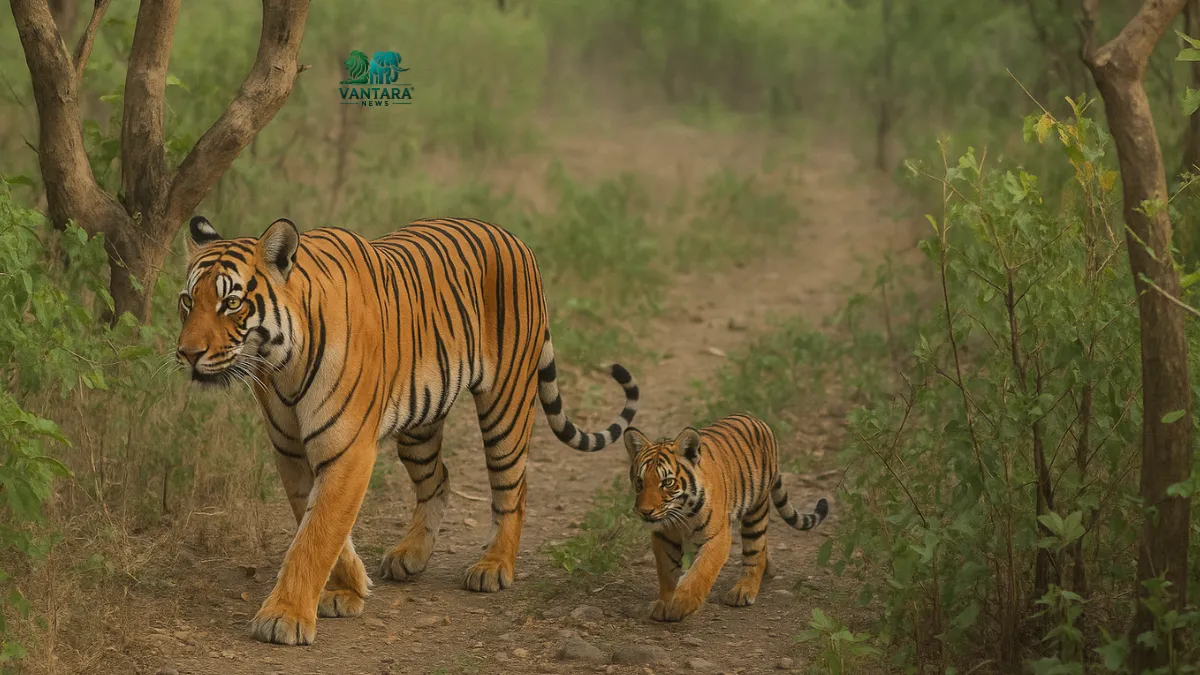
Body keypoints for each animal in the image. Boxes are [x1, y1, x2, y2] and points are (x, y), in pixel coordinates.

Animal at [175, 215, 639, 646]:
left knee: (514, 488)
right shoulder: (290, 451)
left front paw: (284, 617)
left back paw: (494, 566)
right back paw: (410, 555)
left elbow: (316, 534)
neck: (280, 365)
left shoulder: (347, 449)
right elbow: (319, 525)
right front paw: (349, 588)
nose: (187, 353)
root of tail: (514, 237)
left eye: (231, 302)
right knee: (439, 481)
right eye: (187, 301)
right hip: (421, 422)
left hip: (505, 405)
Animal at [622, 413, 829, 622]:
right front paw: (665, 602)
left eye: (667, 482)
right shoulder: (663, 537)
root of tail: (755, 418)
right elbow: (667, 572)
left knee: (755, 551)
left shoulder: (717, 537)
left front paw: (681, 605)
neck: (681, 513)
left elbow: (701, 572)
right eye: (640, 481)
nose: (645, 511)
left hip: (757, 510)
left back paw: (743, 591)